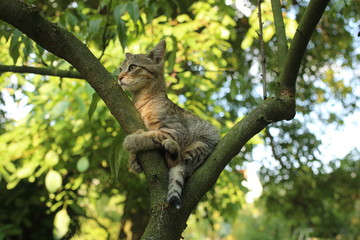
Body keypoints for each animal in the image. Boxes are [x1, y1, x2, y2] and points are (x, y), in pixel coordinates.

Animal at [118, 40, 219, 209]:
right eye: (120, 69)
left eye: (132, 67)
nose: (119, 77)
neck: (141, 100)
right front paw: (133, 161)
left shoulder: (178, 130)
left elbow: (153, 135)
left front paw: (133, 140)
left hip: (201, 142)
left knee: (178, 163)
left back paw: (171, 147)